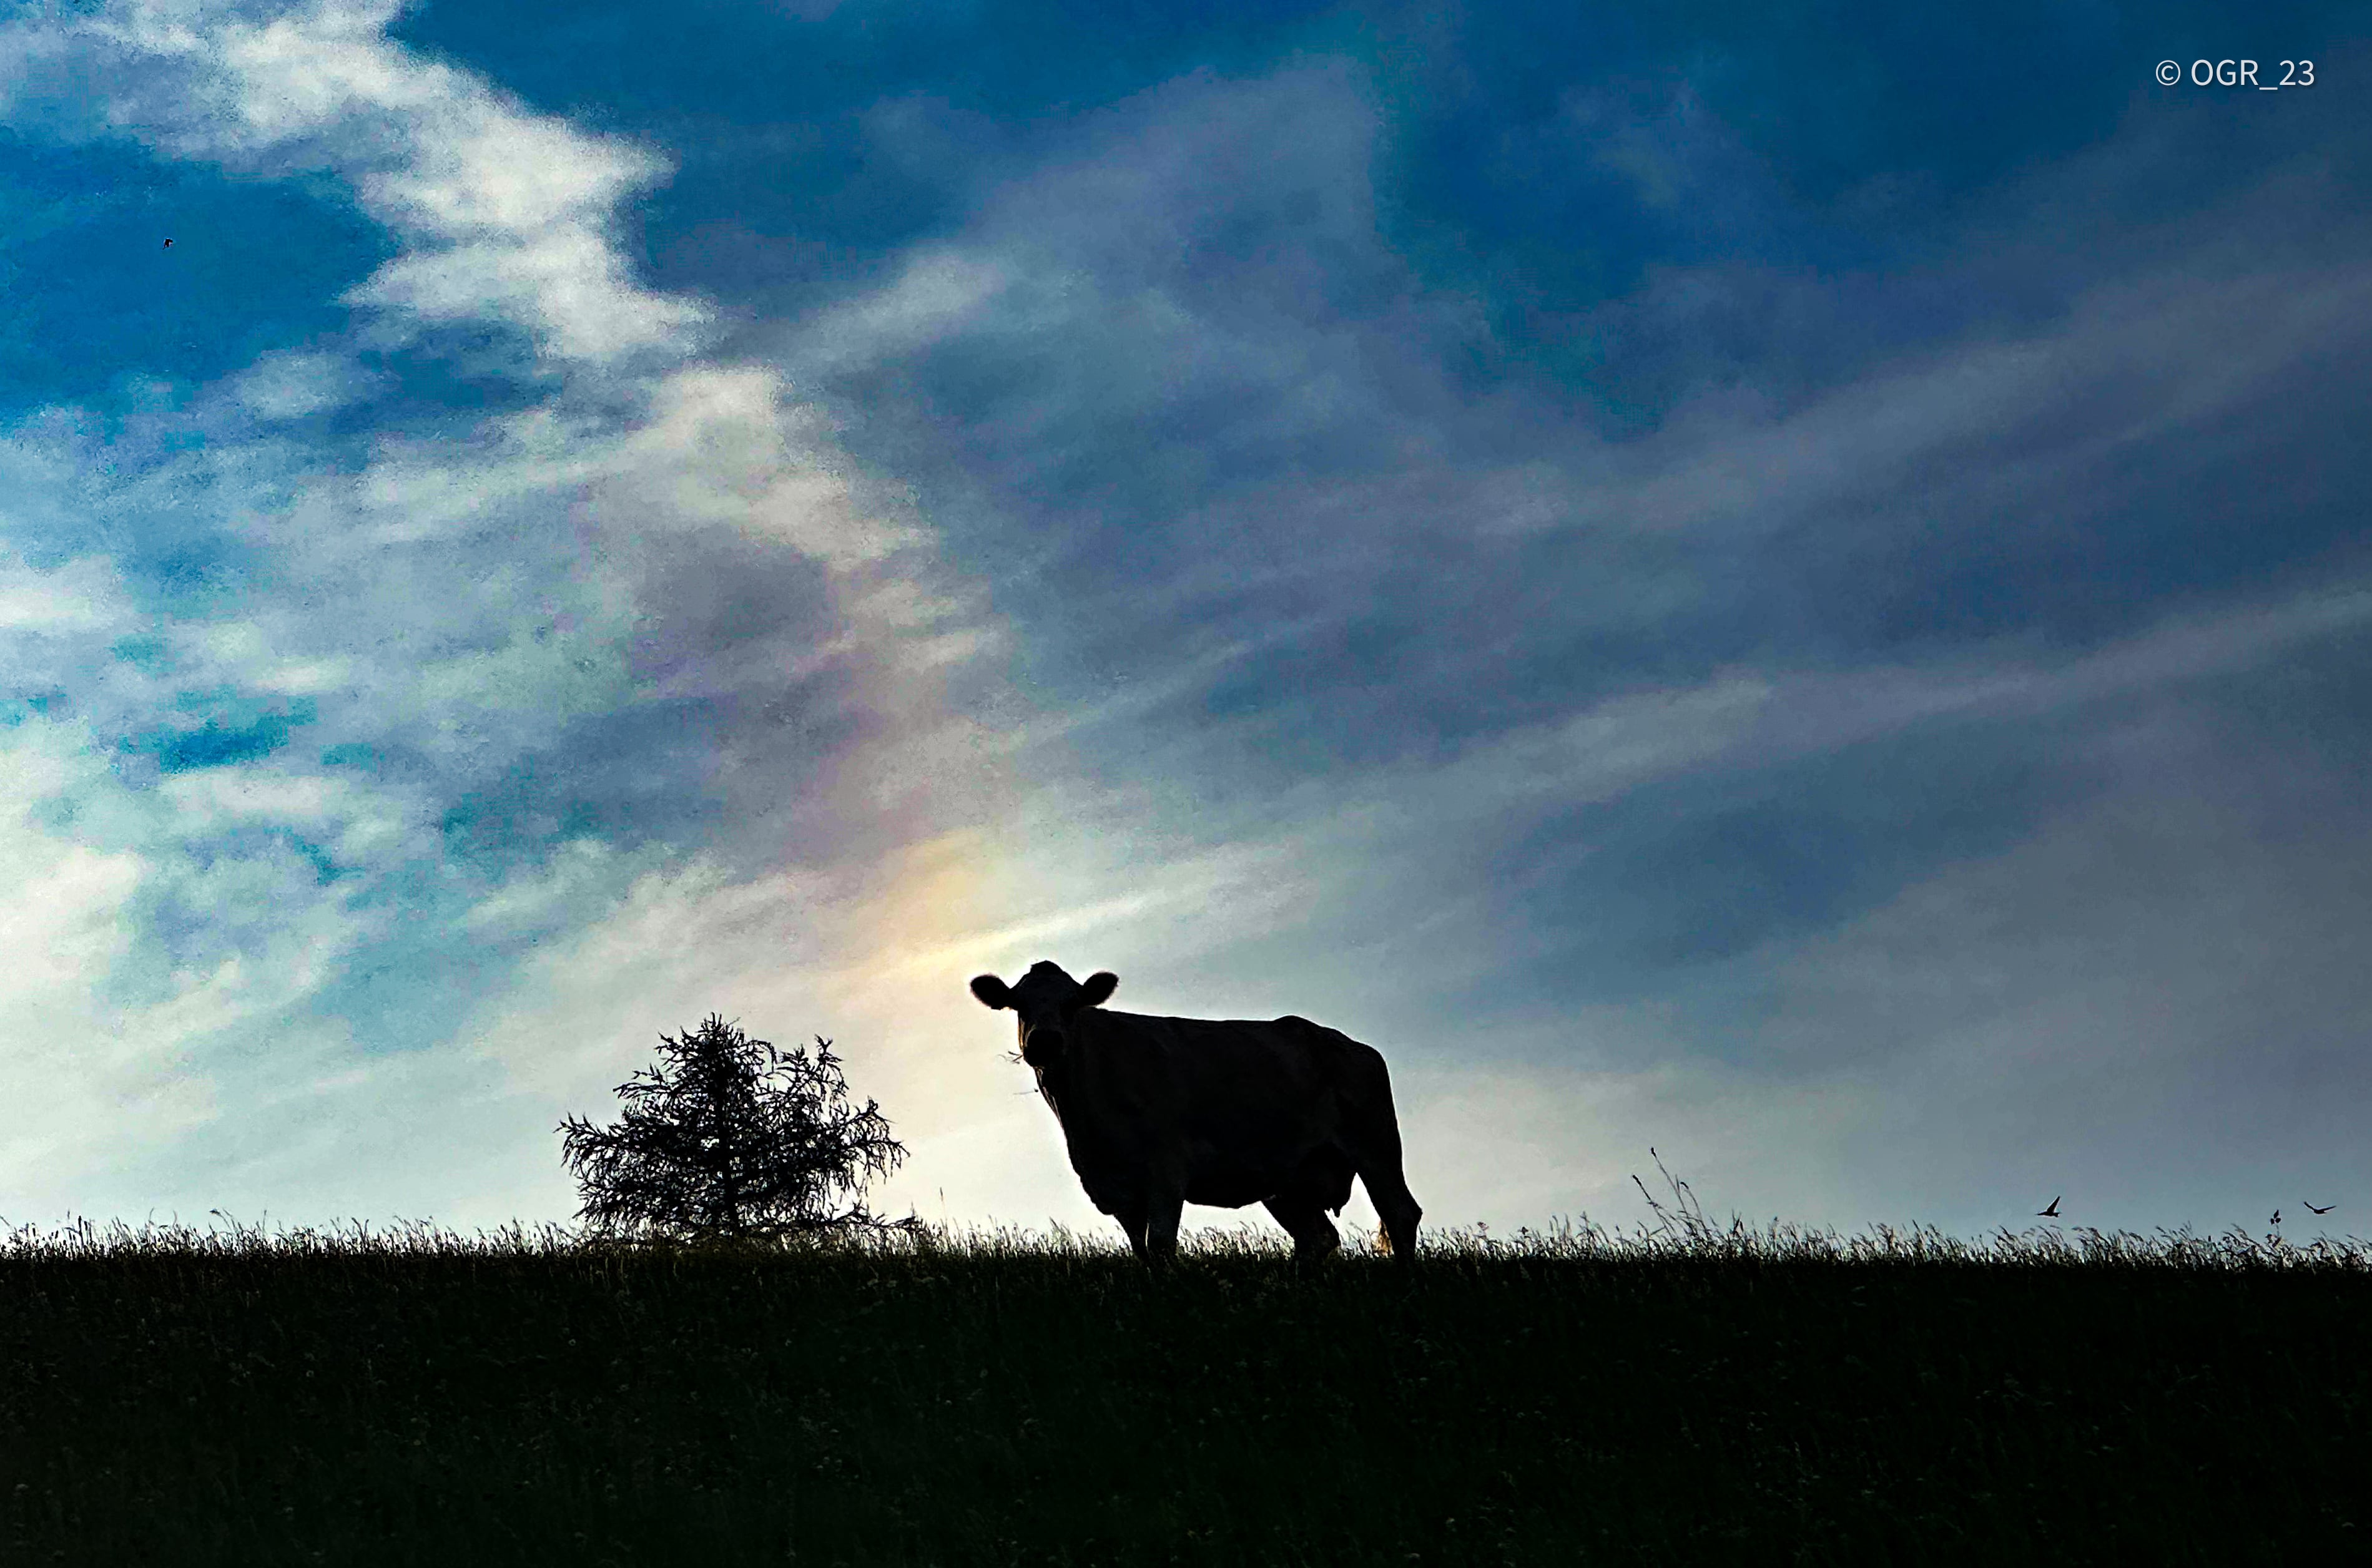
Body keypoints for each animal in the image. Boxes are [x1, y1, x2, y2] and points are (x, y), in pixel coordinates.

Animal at [968, 961, 1422, 1266]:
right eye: (1018, 1004)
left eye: (1073, 1003)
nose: (1043, 1041)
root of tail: (1348, 1044)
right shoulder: (1115, 1186)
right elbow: (1141, 1251)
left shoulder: (1166, 1170)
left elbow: (1161, 1245)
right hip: (1286, 1178)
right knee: (1318, 1237)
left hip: (1376, 1145)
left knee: (1400, 1213)